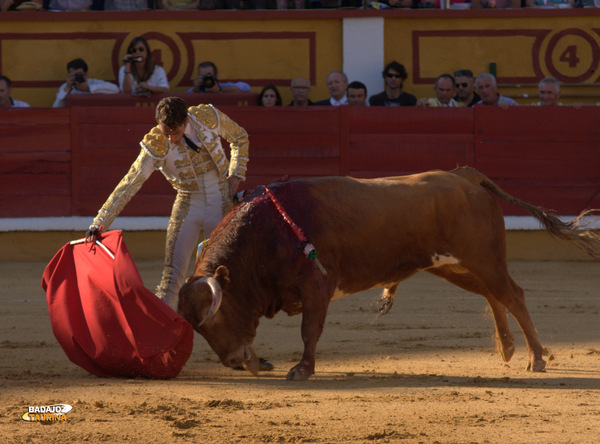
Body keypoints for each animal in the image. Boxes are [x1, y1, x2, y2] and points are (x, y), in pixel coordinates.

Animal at [176, 168, 596, 380]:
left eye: (216, 318)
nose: (234, 361)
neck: (267, 231)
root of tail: (465, 176)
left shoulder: (317, 286)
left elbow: (310, 330)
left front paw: (302, 370)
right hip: (452, 265)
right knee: (493, 295)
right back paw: (507, 348)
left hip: (482, 258)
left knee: (513, 294)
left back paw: (536, 358)